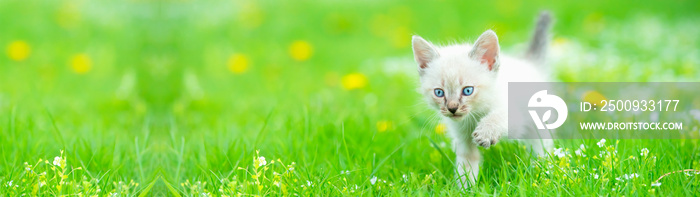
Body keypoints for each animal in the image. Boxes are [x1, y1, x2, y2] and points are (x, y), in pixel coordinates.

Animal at [412, 12, 556, 188]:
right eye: (439, 92)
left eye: (468, 90)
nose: (452, 108)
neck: (475, 114)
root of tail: (528, 62)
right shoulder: (463, 138)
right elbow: (466, 164)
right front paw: (466, 188)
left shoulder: (516, 121)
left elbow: (500, 116)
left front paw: (486, 132)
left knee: (541, 144)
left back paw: (542, 168)